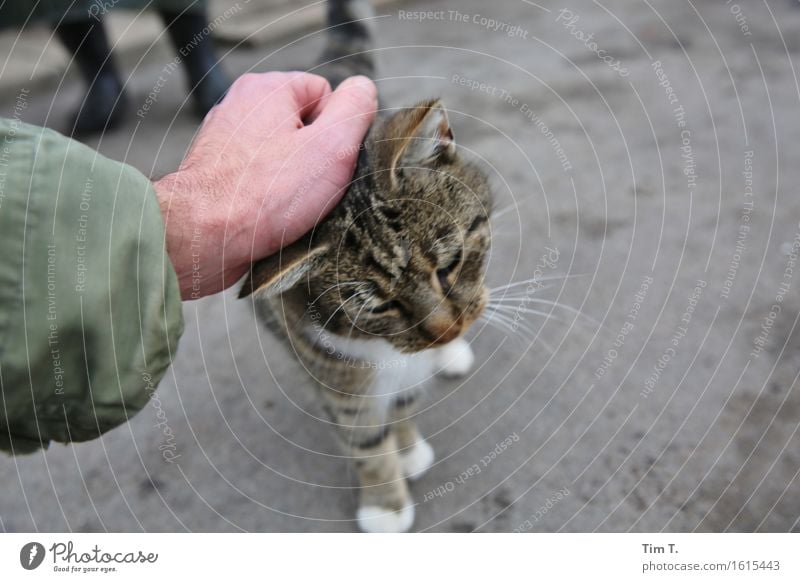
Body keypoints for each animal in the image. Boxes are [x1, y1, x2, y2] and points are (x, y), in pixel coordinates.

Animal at [238, 0, 490, 532]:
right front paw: (385, 504)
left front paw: (408, 448)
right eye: (378, 307)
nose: (445, 331)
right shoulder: (331, 370)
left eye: (451, 263)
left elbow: (405, 400)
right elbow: (365, 439)